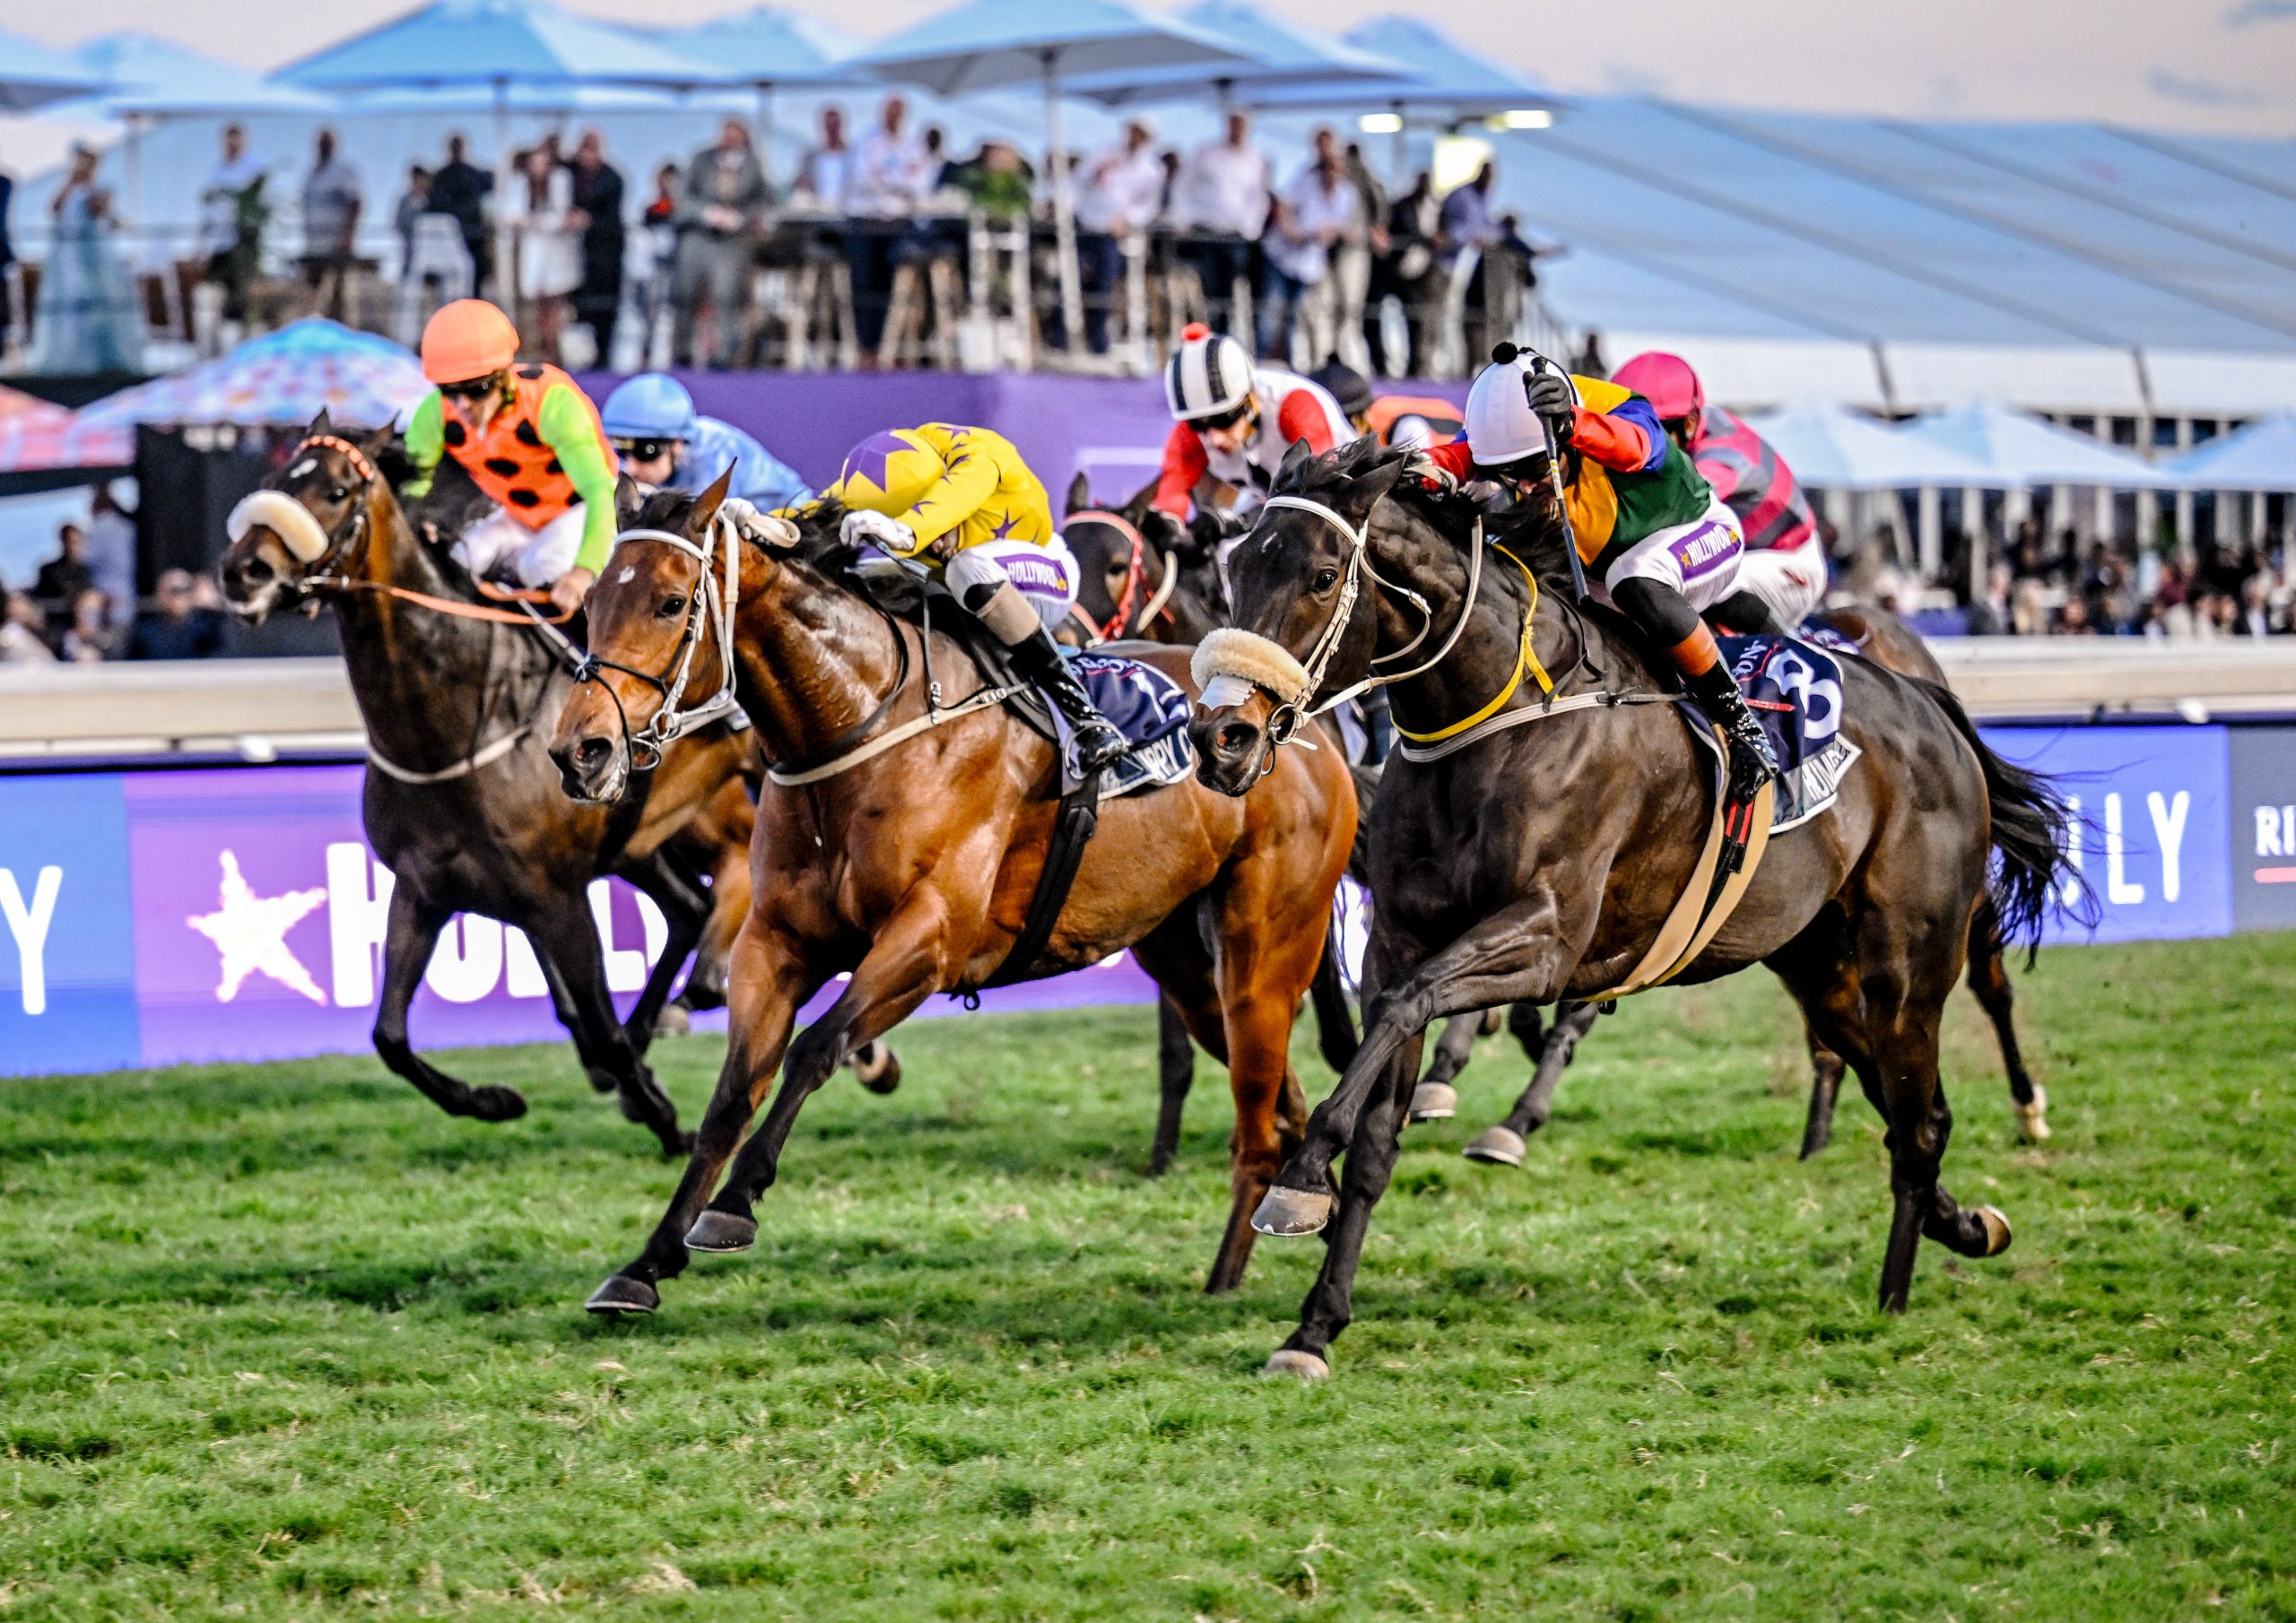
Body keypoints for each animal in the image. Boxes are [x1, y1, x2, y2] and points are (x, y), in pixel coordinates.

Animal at [215, 420, 757, 1157]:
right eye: (273, 481)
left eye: (334, 490)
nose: (243, 571)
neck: (457, 724)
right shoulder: (424, 888)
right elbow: (390, 1036)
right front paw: (494, 1099)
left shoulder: (555, 897)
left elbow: (603, 1034)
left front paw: (664, 1116)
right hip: (644, 841)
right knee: (688, 909)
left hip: (723, 802)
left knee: (737, 877)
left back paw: (706, 989)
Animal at [555, 474, 1359, 1313]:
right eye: (592, 604)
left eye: (670, 603)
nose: (581, 750)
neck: (859, 724)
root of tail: (1293, 721)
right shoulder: (775, 945)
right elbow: (730, 1097)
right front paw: (645, 1264)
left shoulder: (930, 940)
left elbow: (815, 1047)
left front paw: (734, 1205)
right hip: (1185, 963)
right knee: (1281, 1106)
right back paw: (1302, 1219)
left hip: (1263, 953)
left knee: (1261, 1116)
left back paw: (1244, 1265)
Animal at [1184, 438, 2084, 1377]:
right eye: (1237, 567)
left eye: (1324, 576)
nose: (1221, 739)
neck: (1507, 710)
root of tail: (1932, 708)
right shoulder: (1398, 936)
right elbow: (1378, 1129)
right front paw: (1313, 1326)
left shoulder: (1547, 936)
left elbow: (1406, 1005)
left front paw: (1301, 1176)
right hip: (1819, 967)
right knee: (1903, 1107)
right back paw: (1969, 1227)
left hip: (1907, 963)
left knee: (1923, 1110)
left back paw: (1898, 1295)